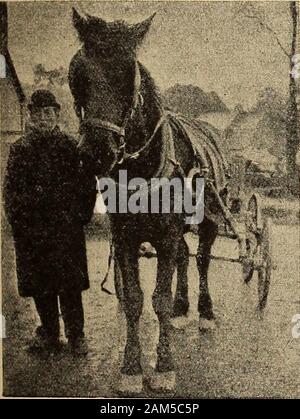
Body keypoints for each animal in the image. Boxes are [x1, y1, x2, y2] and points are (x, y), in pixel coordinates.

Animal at [68, 8, 227, 398]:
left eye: (129, 75)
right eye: (78, 75)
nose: (95, 153)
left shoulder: (166, 235)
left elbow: (160, 300)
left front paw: (164, 367)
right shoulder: (125, 237)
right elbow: (135, 300)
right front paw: (130, 368)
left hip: (210, 219)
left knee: (201, 259)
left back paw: (204, 312)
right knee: (185, 257)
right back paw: (186, 309)